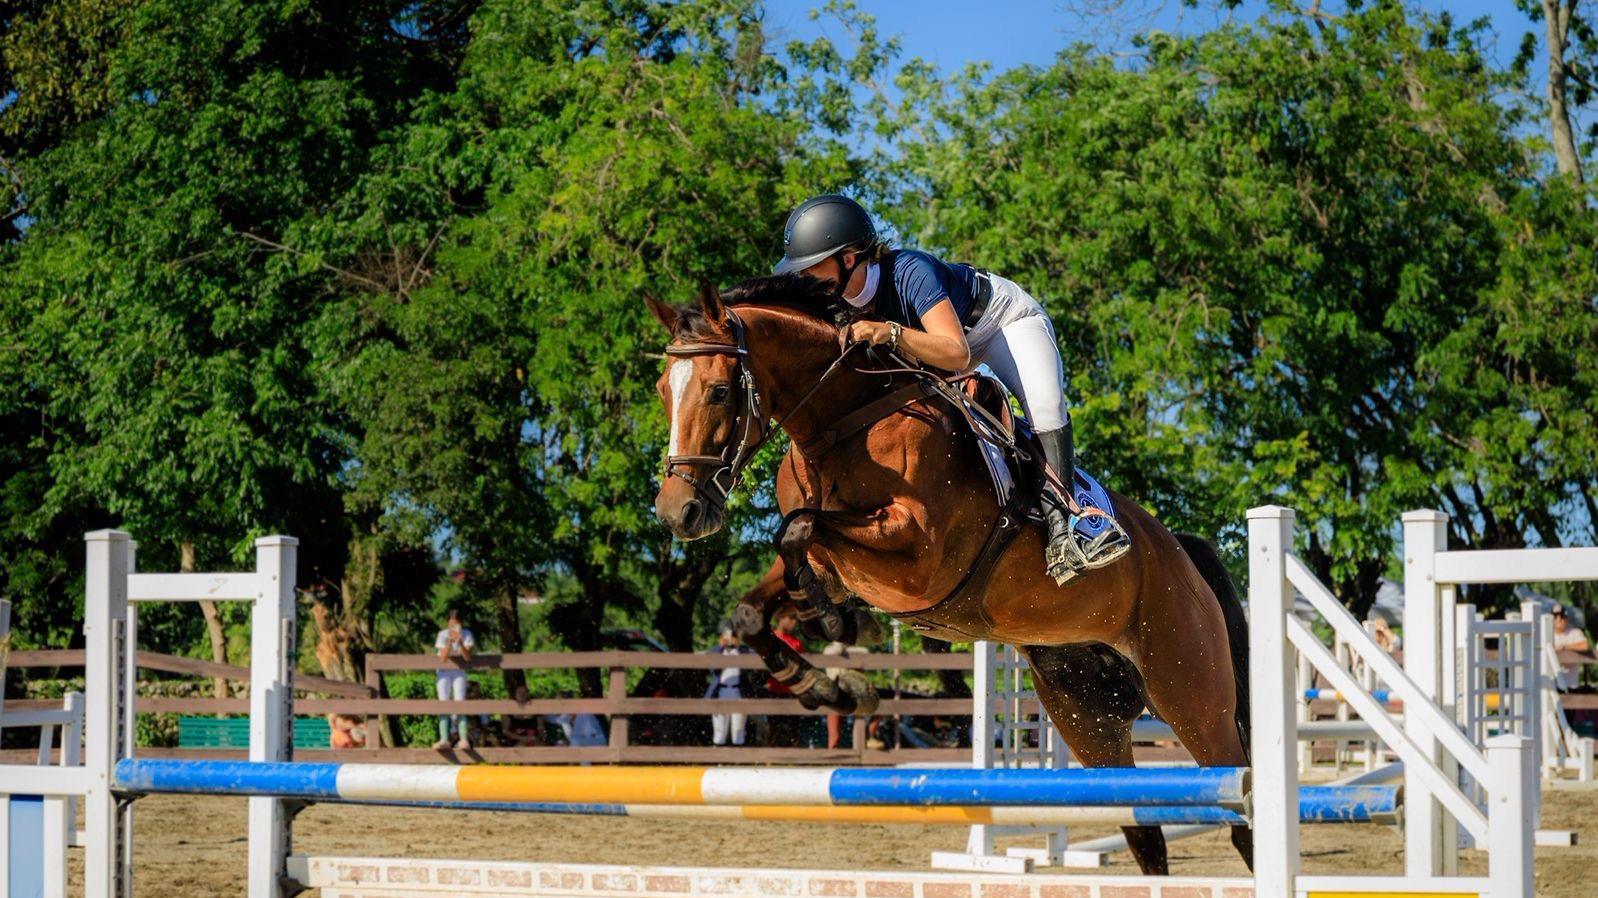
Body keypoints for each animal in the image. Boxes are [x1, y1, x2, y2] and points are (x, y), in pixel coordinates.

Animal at [646, 275, 1253, 874]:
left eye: (718, 392)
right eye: (661, 390)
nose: (678, 513)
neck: (844, 424)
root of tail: (1179, 552)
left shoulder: (920, 559)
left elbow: (798, 528)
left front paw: (837, 629)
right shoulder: (839, 563)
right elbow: (758, 602)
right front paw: (828, 681)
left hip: (1192, 697)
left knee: (1241, 807)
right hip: (1087, 713)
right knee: (1143, 831)